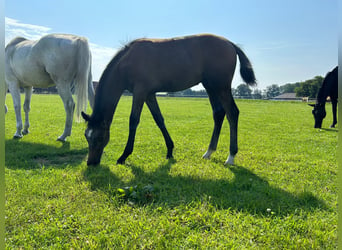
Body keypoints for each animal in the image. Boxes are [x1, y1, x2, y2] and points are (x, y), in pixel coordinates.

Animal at [81, 33, 256, 166]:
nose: (91, 163)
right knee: (218, 114)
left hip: (221, 87)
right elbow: (159, 119)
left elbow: (133, 121)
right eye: (86, 136)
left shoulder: (140, 92)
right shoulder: (149, 94)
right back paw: (209, 152)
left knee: (232, 113)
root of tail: (230, 44)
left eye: (99, 138)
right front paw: (170, 150)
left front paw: (124, 156)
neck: (127, 62)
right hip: (211, 87)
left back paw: (231, 156)